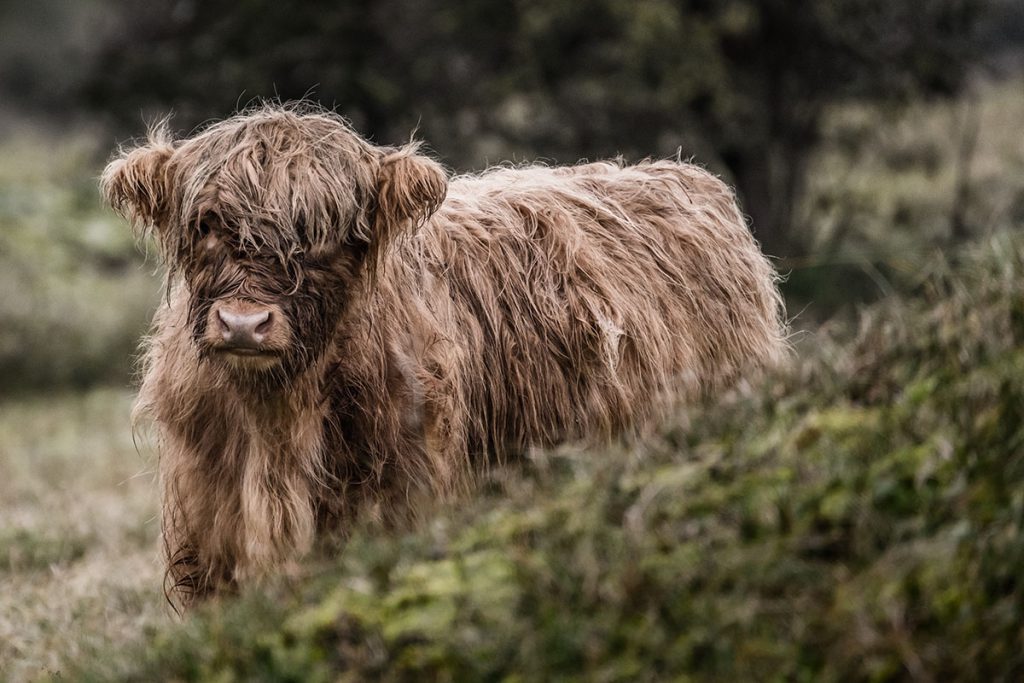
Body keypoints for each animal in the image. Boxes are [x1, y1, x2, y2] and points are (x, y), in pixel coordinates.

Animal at [101, 104, 782, 606]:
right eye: (207, 224)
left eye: (327, 235)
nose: (245, 324)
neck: (278, 424)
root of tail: (684, 177)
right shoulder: (210, 534)